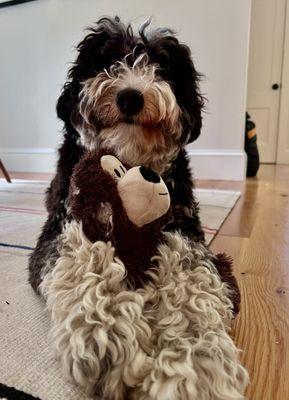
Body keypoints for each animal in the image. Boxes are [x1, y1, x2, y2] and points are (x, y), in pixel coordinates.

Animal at [28, 17, 205, 292]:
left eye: (161, 65)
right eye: (108, 59)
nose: (130, 98)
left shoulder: (184, 217)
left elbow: (191, 257)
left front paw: (197, 296)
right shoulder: (62, 220)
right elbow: (73, 251)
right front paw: (103, 290)